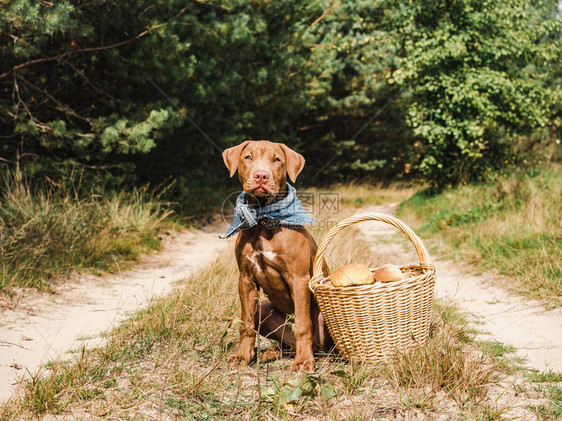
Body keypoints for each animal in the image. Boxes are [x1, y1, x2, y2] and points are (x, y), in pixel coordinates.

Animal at [222, 139, 330, 370]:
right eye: (248, 157)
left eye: (277, 160)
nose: (261, 176)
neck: (263, 219)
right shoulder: (245, 279)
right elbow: (246, 322)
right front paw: (242, 355)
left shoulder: (299, 279)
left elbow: (303, 323)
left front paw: (303, 362)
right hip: (264, 309)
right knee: (286, 344)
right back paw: (271, 354)